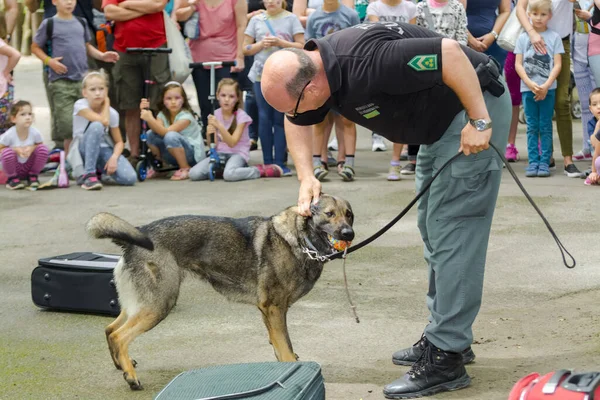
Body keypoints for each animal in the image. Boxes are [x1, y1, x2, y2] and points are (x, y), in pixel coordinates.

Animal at [86, 195, 354, 390]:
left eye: (349, 215)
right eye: (329, 214)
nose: (348, 234)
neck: (299, 239)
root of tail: (136, 235)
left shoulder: (268, 312)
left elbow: (278, 346)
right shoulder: (275, 309)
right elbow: (285, 347)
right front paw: (292, 371)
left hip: (140, 303)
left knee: (110, 329)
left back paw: (122, 365)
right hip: (159, 304)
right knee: (119, 335)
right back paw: (131, 378)